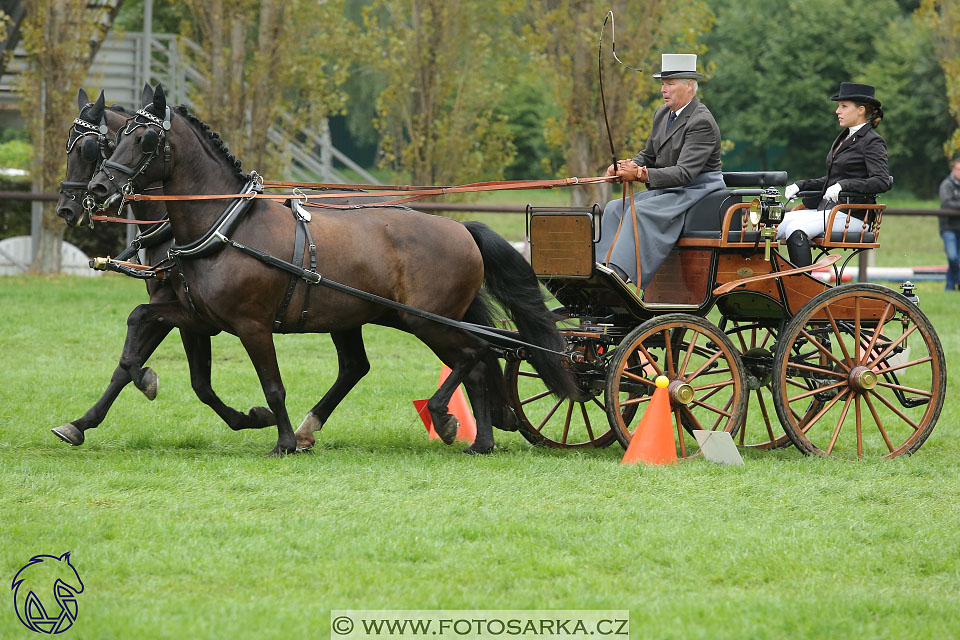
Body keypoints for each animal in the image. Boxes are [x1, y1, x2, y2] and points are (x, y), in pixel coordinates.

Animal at [54, 86, 276, 444]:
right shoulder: (177, 306)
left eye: (88, 149)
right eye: (68, 145)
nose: (66, 208)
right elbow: (128, 365)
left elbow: (174, 373)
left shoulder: (173, 303)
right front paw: (81, 422)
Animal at [82, 85, 572, 456]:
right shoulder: (198, 316)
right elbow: (141, 337)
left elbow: (273, 385)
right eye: (117, 137)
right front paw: (116, 398)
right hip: (394, 318)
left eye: (145, 140)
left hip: (427, 321)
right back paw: (477, 438)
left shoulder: (251, 324)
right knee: (467, 361)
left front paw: (281, 441)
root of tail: (460, 228)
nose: (98, 189)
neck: (226, 225)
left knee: (478, 354)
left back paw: (446, 419)